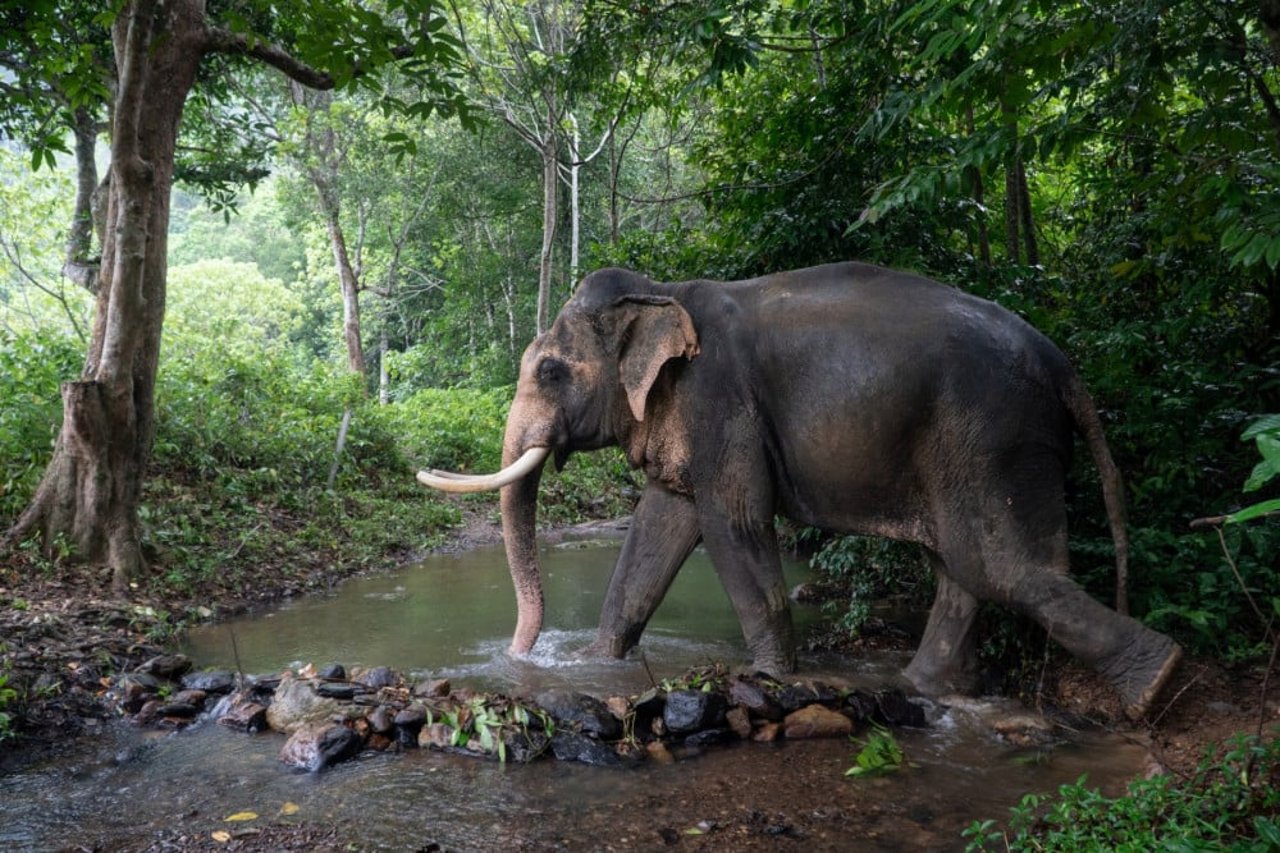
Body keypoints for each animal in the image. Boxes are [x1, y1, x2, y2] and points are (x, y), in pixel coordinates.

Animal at [424, 262, 1182, 712]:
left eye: (550, 370)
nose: (520, 654)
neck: (667, 290)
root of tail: (1061, 361)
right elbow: (660, 525)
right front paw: (593, 665)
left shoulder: (719, 398)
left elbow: (731, 524)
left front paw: (767, 678)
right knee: (965, 568)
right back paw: (924, 687)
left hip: (992, 435)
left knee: (999, 563)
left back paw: (1159, 682)